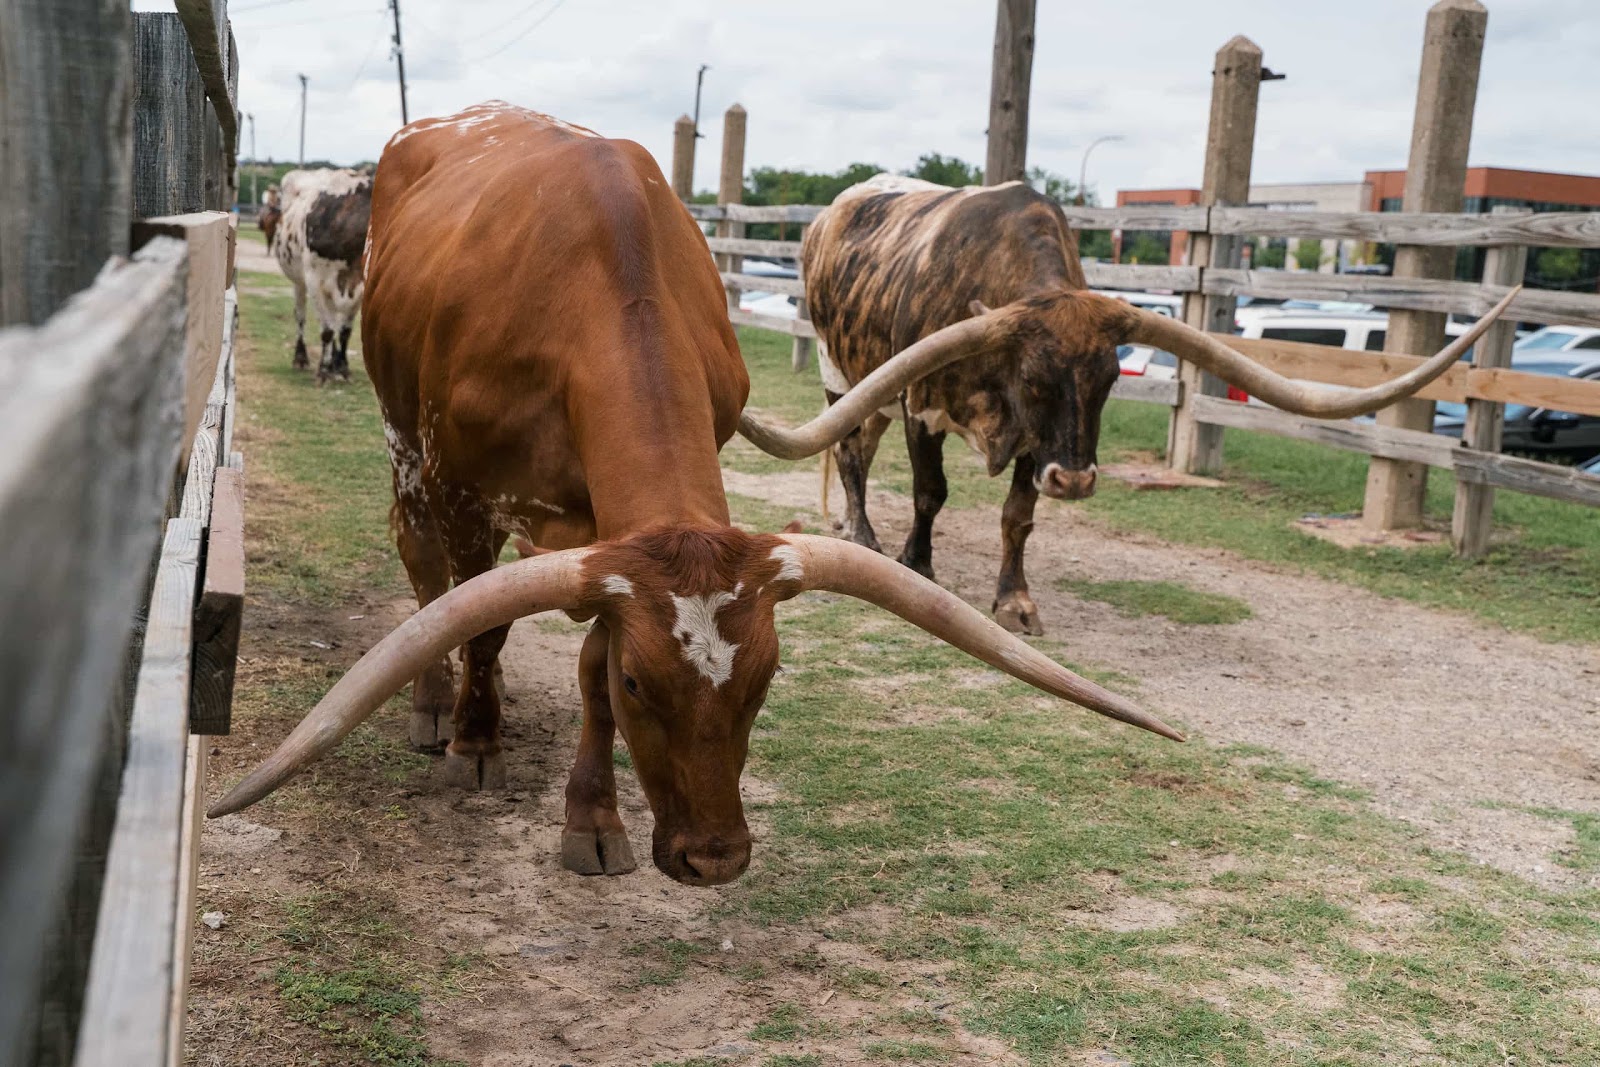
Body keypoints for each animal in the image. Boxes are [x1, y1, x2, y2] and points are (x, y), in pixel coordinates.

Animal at [273, 167, 372, 382]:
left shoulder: (359, 286)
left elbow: (344, 331)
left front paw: (342, 367)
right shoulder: (314, 282)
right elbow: (327, 331)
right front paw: (324, 371)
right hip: (299, 281)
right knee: (301, 316)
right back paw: (301, 358)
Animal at [739, 173, 1515, 636]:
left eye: (1111, 379)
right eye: (1035, 379)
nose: (1078, 480)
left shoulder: (1038, 445)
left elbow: (1017, 518)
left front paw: (1015, 601)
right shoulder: (922, 406)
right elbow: (931, 493)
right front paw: (918, 568)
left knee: (856, 452)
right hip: (845, 374)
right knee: (851, 455)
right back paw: (864, 535)